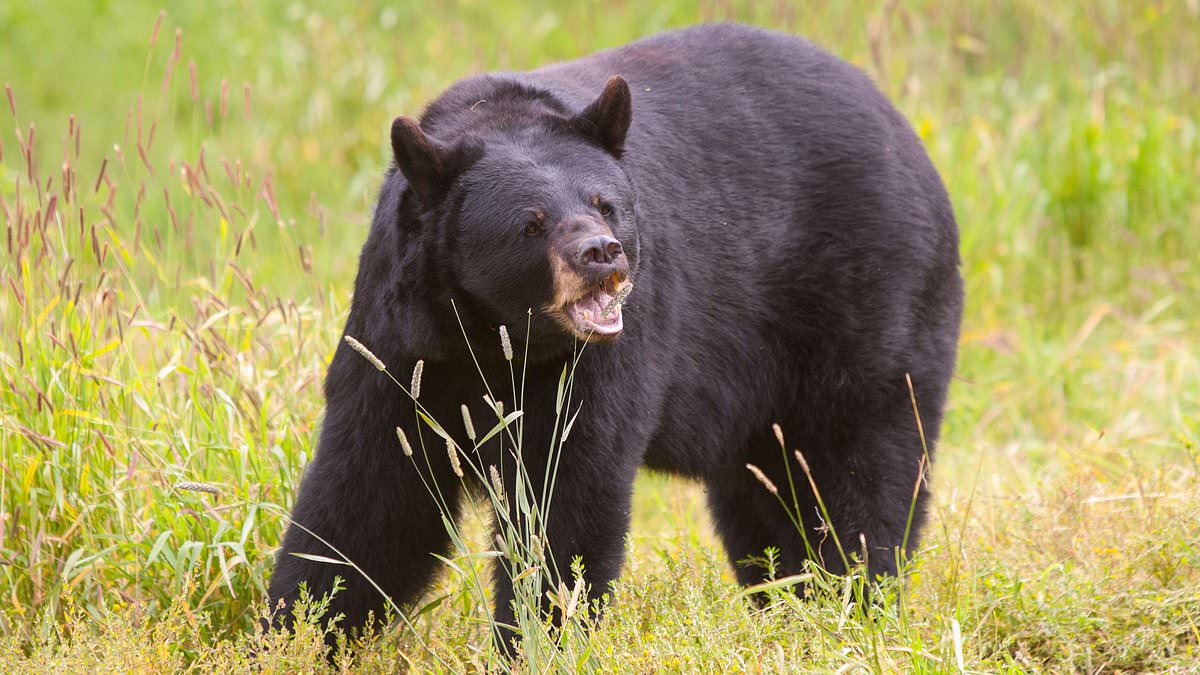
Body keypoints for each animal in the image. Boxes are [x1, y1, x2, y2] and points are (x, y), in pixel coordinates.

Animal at [266, 22, 963, 655]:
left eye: (605, 203)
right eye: (530, 223)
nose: (602, 253)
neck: (499, 335)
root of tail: (905, 129)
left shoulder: (602, 360)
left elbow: (569, 493)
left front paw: (539, 639)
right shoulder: (402, 340)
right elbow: (370, 493)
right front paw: (298, 631)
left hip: (868, 304)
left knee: (857, 468)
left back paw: (850, 603)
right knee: (766, 497)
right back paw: (794, 607)